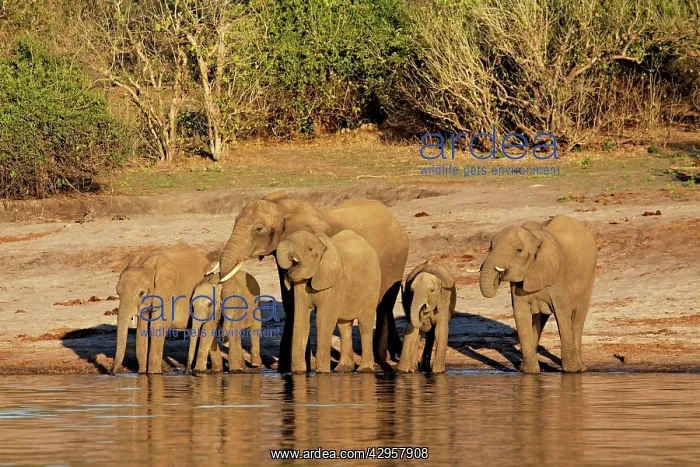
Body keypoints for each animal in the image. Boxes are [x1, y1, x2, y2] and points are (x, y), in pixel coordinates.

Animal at [112, 243, 213, 374]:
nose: (111, 372)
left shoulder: (167, 294)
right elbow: (142, 328)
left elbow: (157, 326)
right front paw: (142, 373)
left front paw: (154, 373)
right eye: (118, 293)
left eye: (141, 293)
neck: (146, 264)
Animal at [275, 230, 381, 373]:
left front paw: (322, 373)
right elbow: (300, 320)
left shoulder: (334, 283)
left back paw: (364, 370)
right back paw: (343, 369)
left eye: (310, 249)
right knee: (343, 326)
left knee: (364, 324)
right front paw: (298, 373)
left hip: (373, 287)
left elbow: (323, 321)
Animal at [478, 215, 597, 374]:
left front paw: (571, 371)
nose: (499, 275)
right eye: (490, 248)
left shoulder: (558, 276)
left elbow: (562, 313)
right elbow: (521, 314)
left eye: (519, 250)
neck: (533, 236)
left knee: (578, 317)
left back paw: (581, 369)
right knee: (539, 318)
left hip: (590, 275)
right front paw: (530, 372)